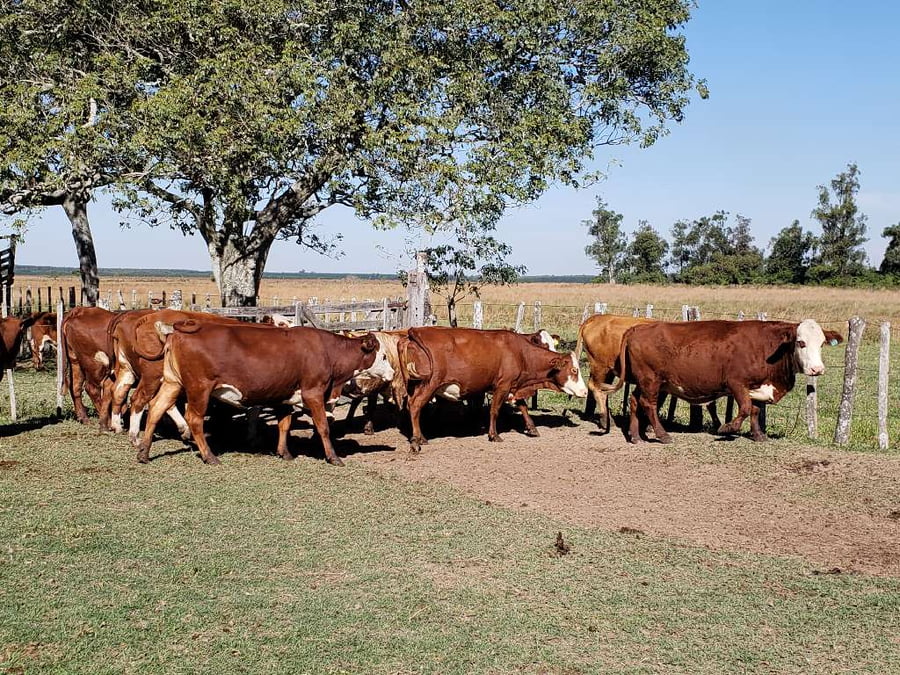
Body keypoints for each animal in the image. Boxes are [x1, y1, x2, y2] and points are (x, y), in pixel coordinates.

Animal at [136, 321, 395, 466]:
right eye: (382, 356)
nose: (393, 372)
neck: (327, 352)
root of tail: (180, 331)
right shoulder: (313, 393)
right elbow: (323, 426)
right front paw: (333, 457)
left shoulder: (286, 396)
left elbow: (285, 424)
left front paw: (284, 452)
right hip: (199, 388)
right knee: (194, 419)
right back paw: (209, 456)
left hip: (173, 383)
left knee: (156, 408)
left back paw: (144, 452)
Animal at [401, 326, 588, 452]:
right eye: (574, 370)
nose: (585, 391)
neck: (520, 352)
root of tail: (415, 332)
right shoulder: (503, 386)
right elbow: (494, 411)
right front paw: (494, 435)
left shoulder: (514, 385)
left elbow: (523, 406)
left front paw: (532, 428)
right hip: (429, 384)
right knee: (416, 406)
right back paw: (417, 441)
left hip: (416, 385)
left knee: (412, 406)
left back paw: (420, 437)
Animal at [601, 319, 843, 444]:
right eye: (801, 343)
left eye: (822, 343)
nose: (817, 369)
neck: (767, 347)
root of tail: (637, 327)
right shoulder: (736, 383)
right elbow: (744, 408)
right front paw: (727, 427)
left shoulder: (757, 386)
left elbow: (755, 410)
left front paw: (758, 435)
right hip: (651, 381)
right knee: (648, 405)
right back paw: (662, 435)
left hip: (648, 383)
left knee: (634, 401)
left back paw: (635, 436)